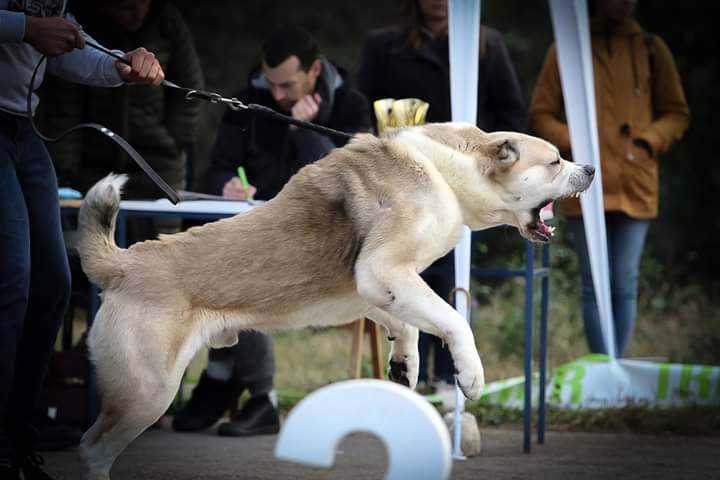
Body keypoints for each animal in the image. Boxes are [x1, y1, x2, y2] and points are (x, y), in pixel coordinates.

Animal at [76, 123, 592, 476]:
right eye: (554, 162)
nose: (588, 169)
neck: (447, 171)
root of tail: (122, 264)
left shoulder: (373, 286)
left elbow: (408, 323)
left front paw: (404, 367)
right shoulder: (383, 268)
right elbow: (453, 320)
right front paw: (470, 375)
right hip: (148, 391)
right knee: (92, 448)